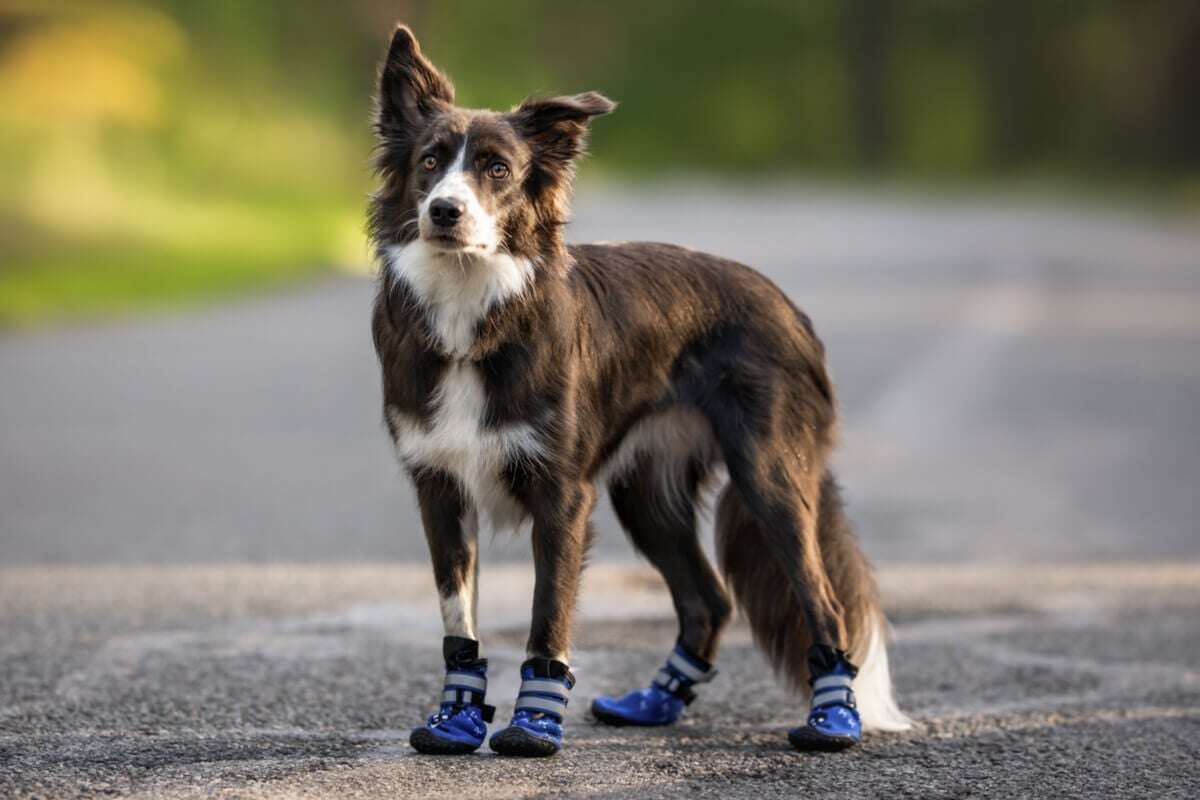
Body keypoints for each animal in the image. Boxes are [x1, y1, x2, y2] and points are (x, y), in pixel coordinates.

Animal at [364, 26, 907, 758]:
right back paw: (657, 701)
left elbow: (548, 614)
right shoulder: (439, 487)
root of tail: (787, 305)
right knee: (709, 598)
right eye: (428, 162)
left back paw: (833, 718)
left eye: (497, 169)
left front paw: (534, 725)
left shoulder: (563, 494)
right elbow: (460, 620)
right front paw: (457, 719)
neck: (475, 307)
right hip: (647, 494)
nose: (444, 211)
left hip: (769, 478)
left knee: (821, 600)